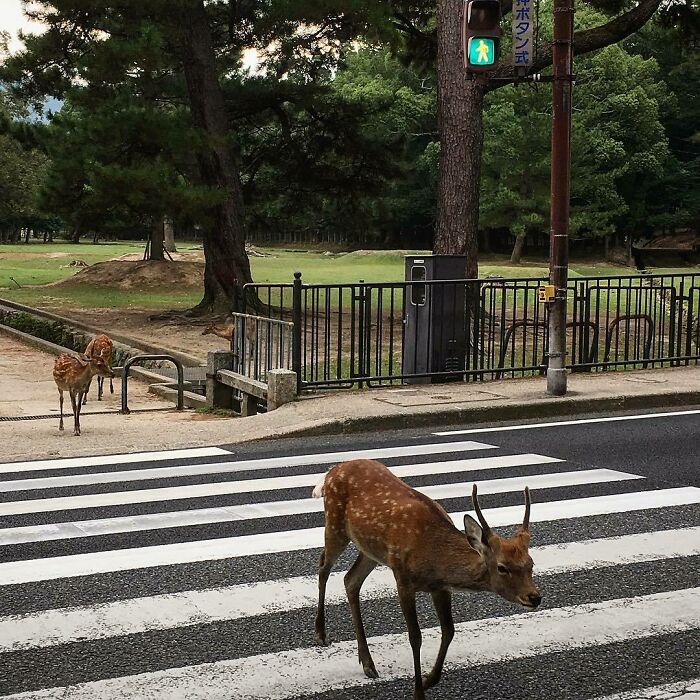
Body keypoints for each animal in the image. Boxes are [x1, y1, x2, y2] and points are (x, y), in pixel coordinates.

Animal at [312, 459, 540, 700]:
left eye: (531, 564)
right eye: (502, 567)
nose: (534, 597)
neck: (433, 557)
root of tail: (331, 471)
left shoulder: (440, 588)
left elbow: (449, 630)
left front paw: (429, 679)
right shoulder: (402, 578)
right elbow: (415, 636)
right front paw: (418, 691)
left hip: (370, 550)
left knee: (350, 580)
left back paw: (367, 663)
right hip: (334, 524)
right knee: (323, 566)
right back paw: (321, 633)